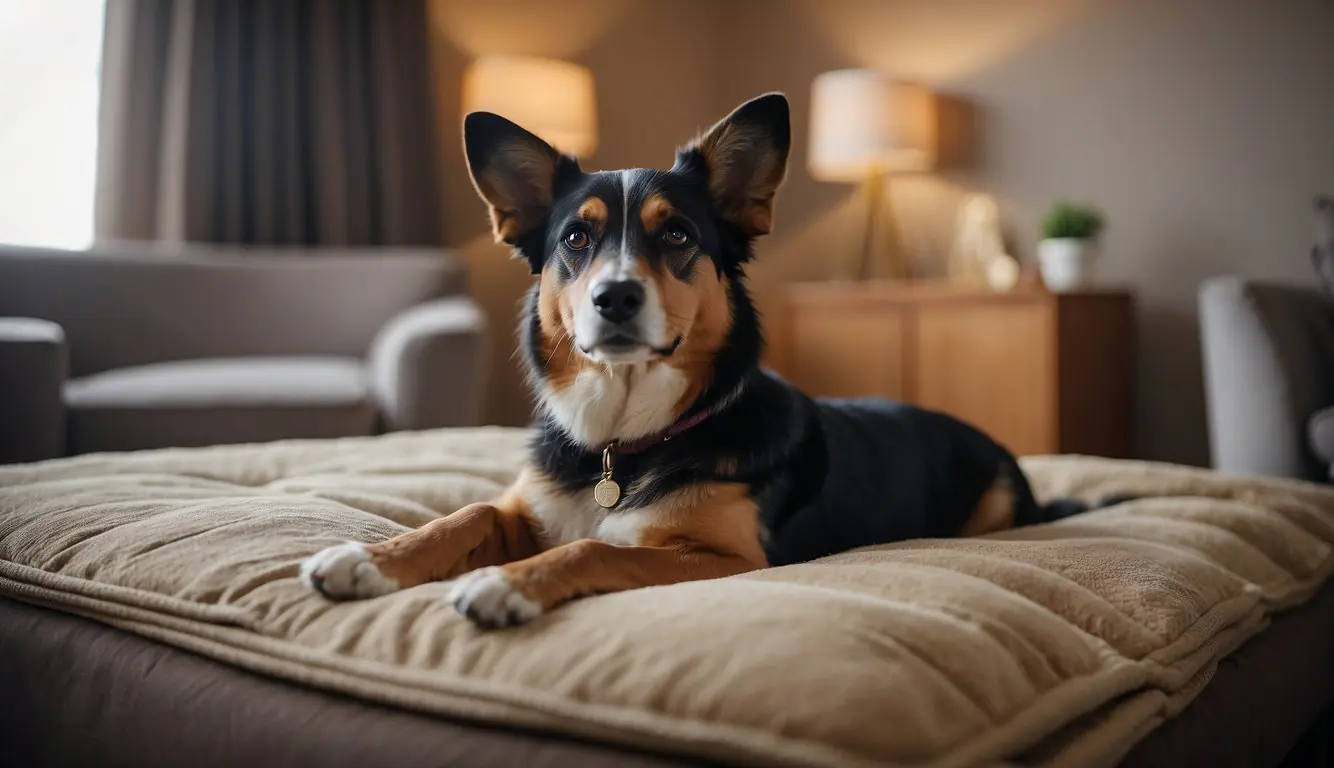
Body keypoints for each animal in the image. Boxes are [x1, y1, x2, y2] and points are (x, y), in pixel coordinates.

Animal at [300, 93, 1093, 626]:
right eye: (576, 239)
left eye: (678, 235)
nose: (616, 297)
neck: (623, 442)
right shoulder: (526, 508)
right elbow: (464, 514)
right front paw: (369, 561)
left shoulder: (725, 560)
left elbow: (597, 550)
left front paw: (508, 584)